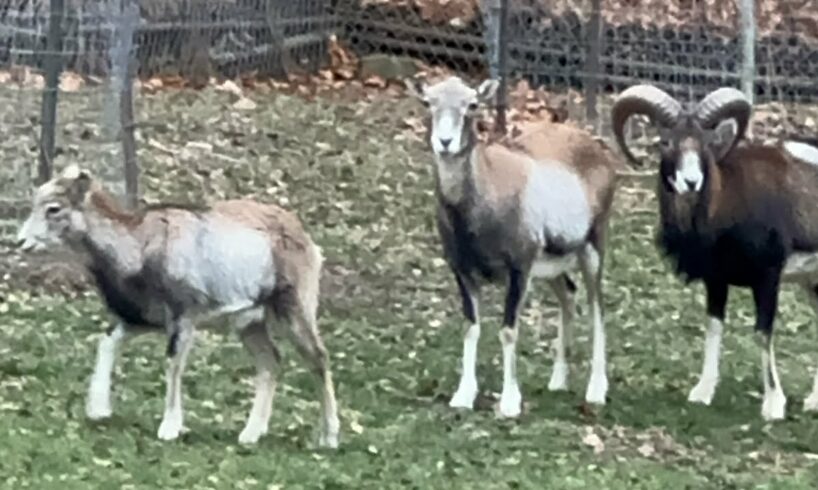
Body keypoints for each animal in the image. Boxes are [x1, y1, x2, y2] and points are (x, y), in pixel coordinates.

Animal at [15, 165, 342, 448]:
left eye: (53, 208)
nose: (21, 242)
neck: (140, 246)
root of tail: (305, 239)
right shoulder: (139, 321)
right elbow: (106, 344)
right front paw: (98, 410)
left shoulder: (182, 319)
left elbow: (173, 365)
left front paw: (169, 429)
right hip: (250, 324)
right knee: (270, 363)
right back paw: (250, 435)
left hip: (294, 312)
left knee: (318, 358)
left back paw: (328, 438)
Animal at [408, 74, 620, 416]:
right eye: (428, 102)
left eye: (472, 104)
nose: (445, 142)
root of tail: (596, 148)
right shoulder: (463, 272)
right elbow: (471, 327)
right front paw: (463, 397)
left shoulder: (519, 270)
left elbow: (508, 331)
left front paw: (509, 404)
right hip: (551, 267)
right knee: (568, 294)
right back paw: (557, 382)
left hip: (592, 250)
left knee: (596, 306)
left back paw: (596, 391)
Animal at [608, 82, 816, 420]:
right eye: (666, 142)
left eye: (706, 145)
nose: (691, 182)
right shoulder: (716, 282)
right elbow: (714, 328)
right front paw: (702, 393)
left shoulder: (768, 279)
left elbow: (763, 333)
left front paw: (773, 406)